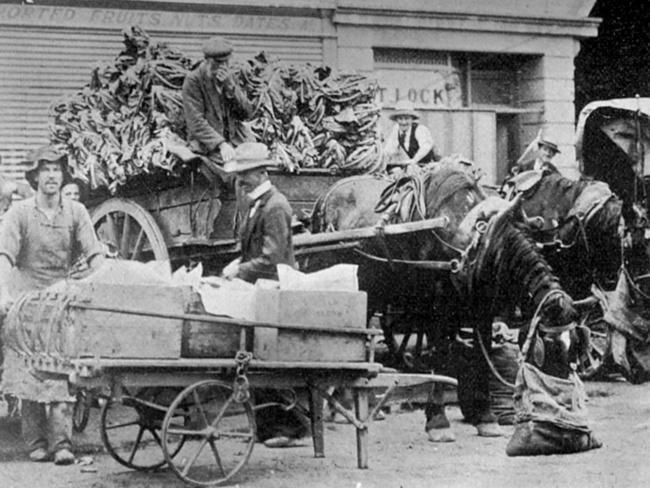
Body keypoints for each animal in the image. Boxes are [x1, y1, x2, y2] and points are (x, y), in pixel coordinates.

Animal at [306, 163, 580, 438]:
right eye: (551, 351)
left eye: (572, 350)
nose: (567, 402)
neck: (479, 242)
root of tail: (324, 198)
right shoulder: (436, 306)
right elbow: (440, 355)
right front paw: (437, 420)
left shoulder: (481, 307)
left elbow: (483, 355)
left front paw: (485, 417)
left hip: (371, 291)